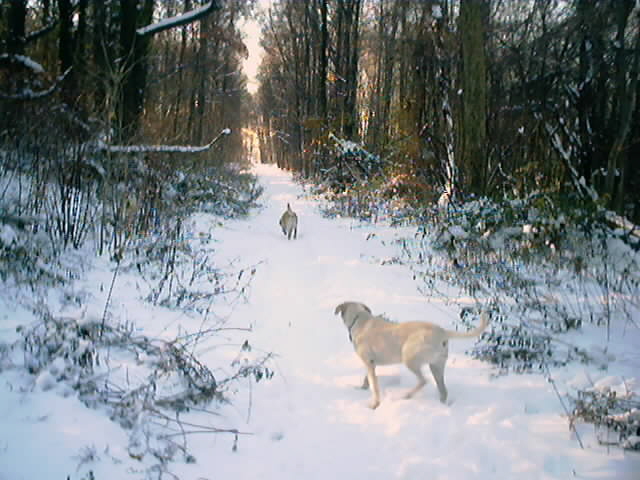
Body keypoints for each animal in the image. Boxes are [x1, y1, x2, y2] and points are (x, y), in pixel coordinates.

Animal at [332, 300, 488, 408]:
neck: (359, 319)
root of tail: (442, 332)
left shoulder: (369, 364)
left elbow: (374, 387)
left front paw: (374, 405)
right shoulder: (371, 364)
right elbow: (367, 379)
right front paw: (362, 388)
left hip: (410, 359)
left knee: (423, 381)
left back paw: (406, 396)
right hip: (436, 366)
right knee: (443, 390)